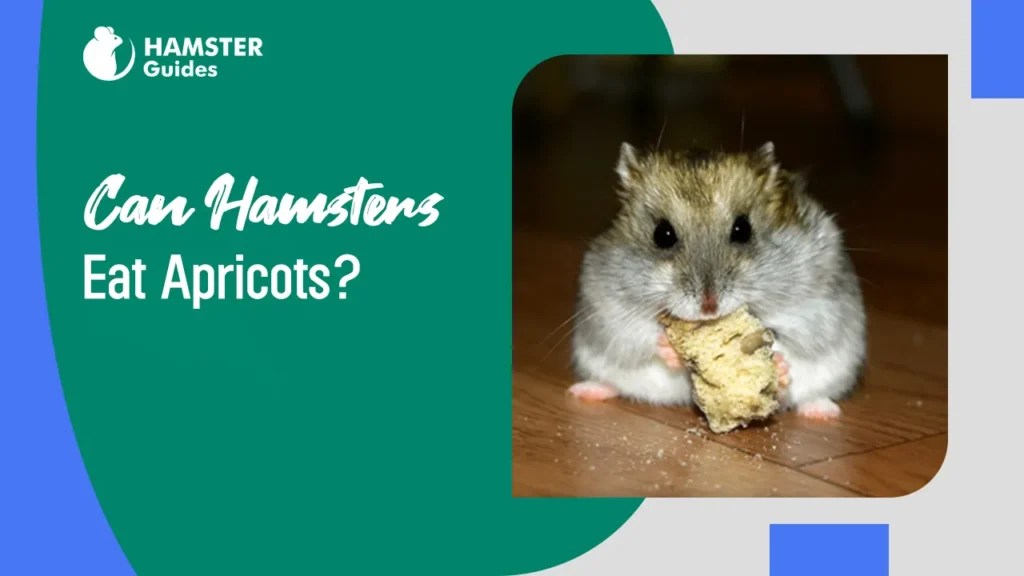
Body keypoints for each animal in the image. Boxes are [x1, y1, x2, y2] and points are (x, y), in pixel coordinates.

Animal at [568, 141, 866, 420]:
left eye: (743, 229)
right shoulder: (607, 310)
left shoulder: (816, 312)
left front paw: (780, 367)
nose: (709, 307)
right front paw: (670, 349)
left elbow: (792, 343)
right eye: (662, 234)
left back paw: (823, 412)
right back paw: (583, 391)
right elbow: (642, 335)